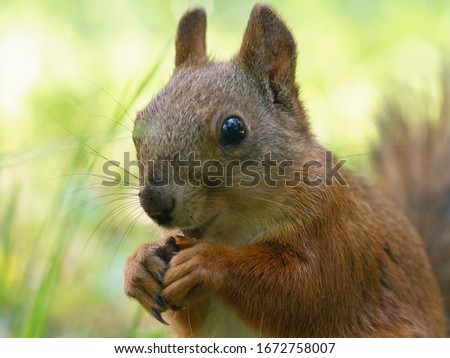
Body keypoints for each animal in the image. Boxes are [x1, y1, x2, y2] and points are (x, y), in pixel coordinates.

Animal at [122, 4, 446, 338]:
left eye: (233, 129)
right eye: (138, 125)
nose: (155, 203)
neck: (234, 232)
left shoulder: (330, 231)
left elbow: (301, 290)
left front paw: (206, 261)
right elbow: (190, 319)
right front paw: (139, 266)